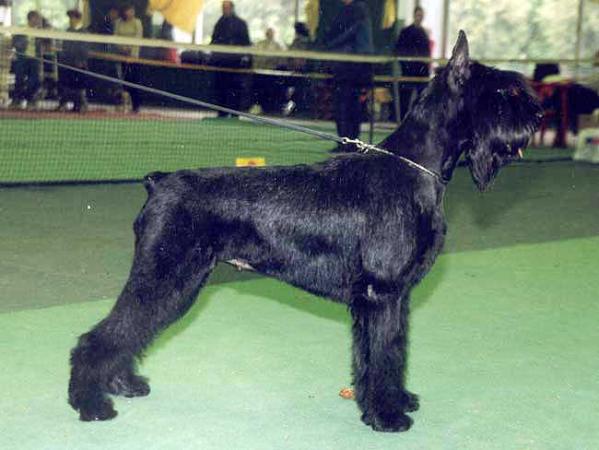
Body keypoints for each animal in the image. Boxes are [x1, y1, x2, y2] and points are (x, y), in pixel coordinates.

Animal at [69, 33, 544, 430]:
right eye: (504, 91)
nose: (538, 115)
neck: (416, 169)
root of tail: (159, 181)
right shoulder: (382, 294)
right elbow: (383, 354)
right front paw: (387, 416)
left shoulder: (391, 298)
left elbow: (387, 353)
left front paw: (394, 400)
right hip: (166, 278)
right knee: (103, 335)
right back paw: (90, 404)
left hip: (179, 284)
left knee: (128, 332)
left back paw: (122, 385)